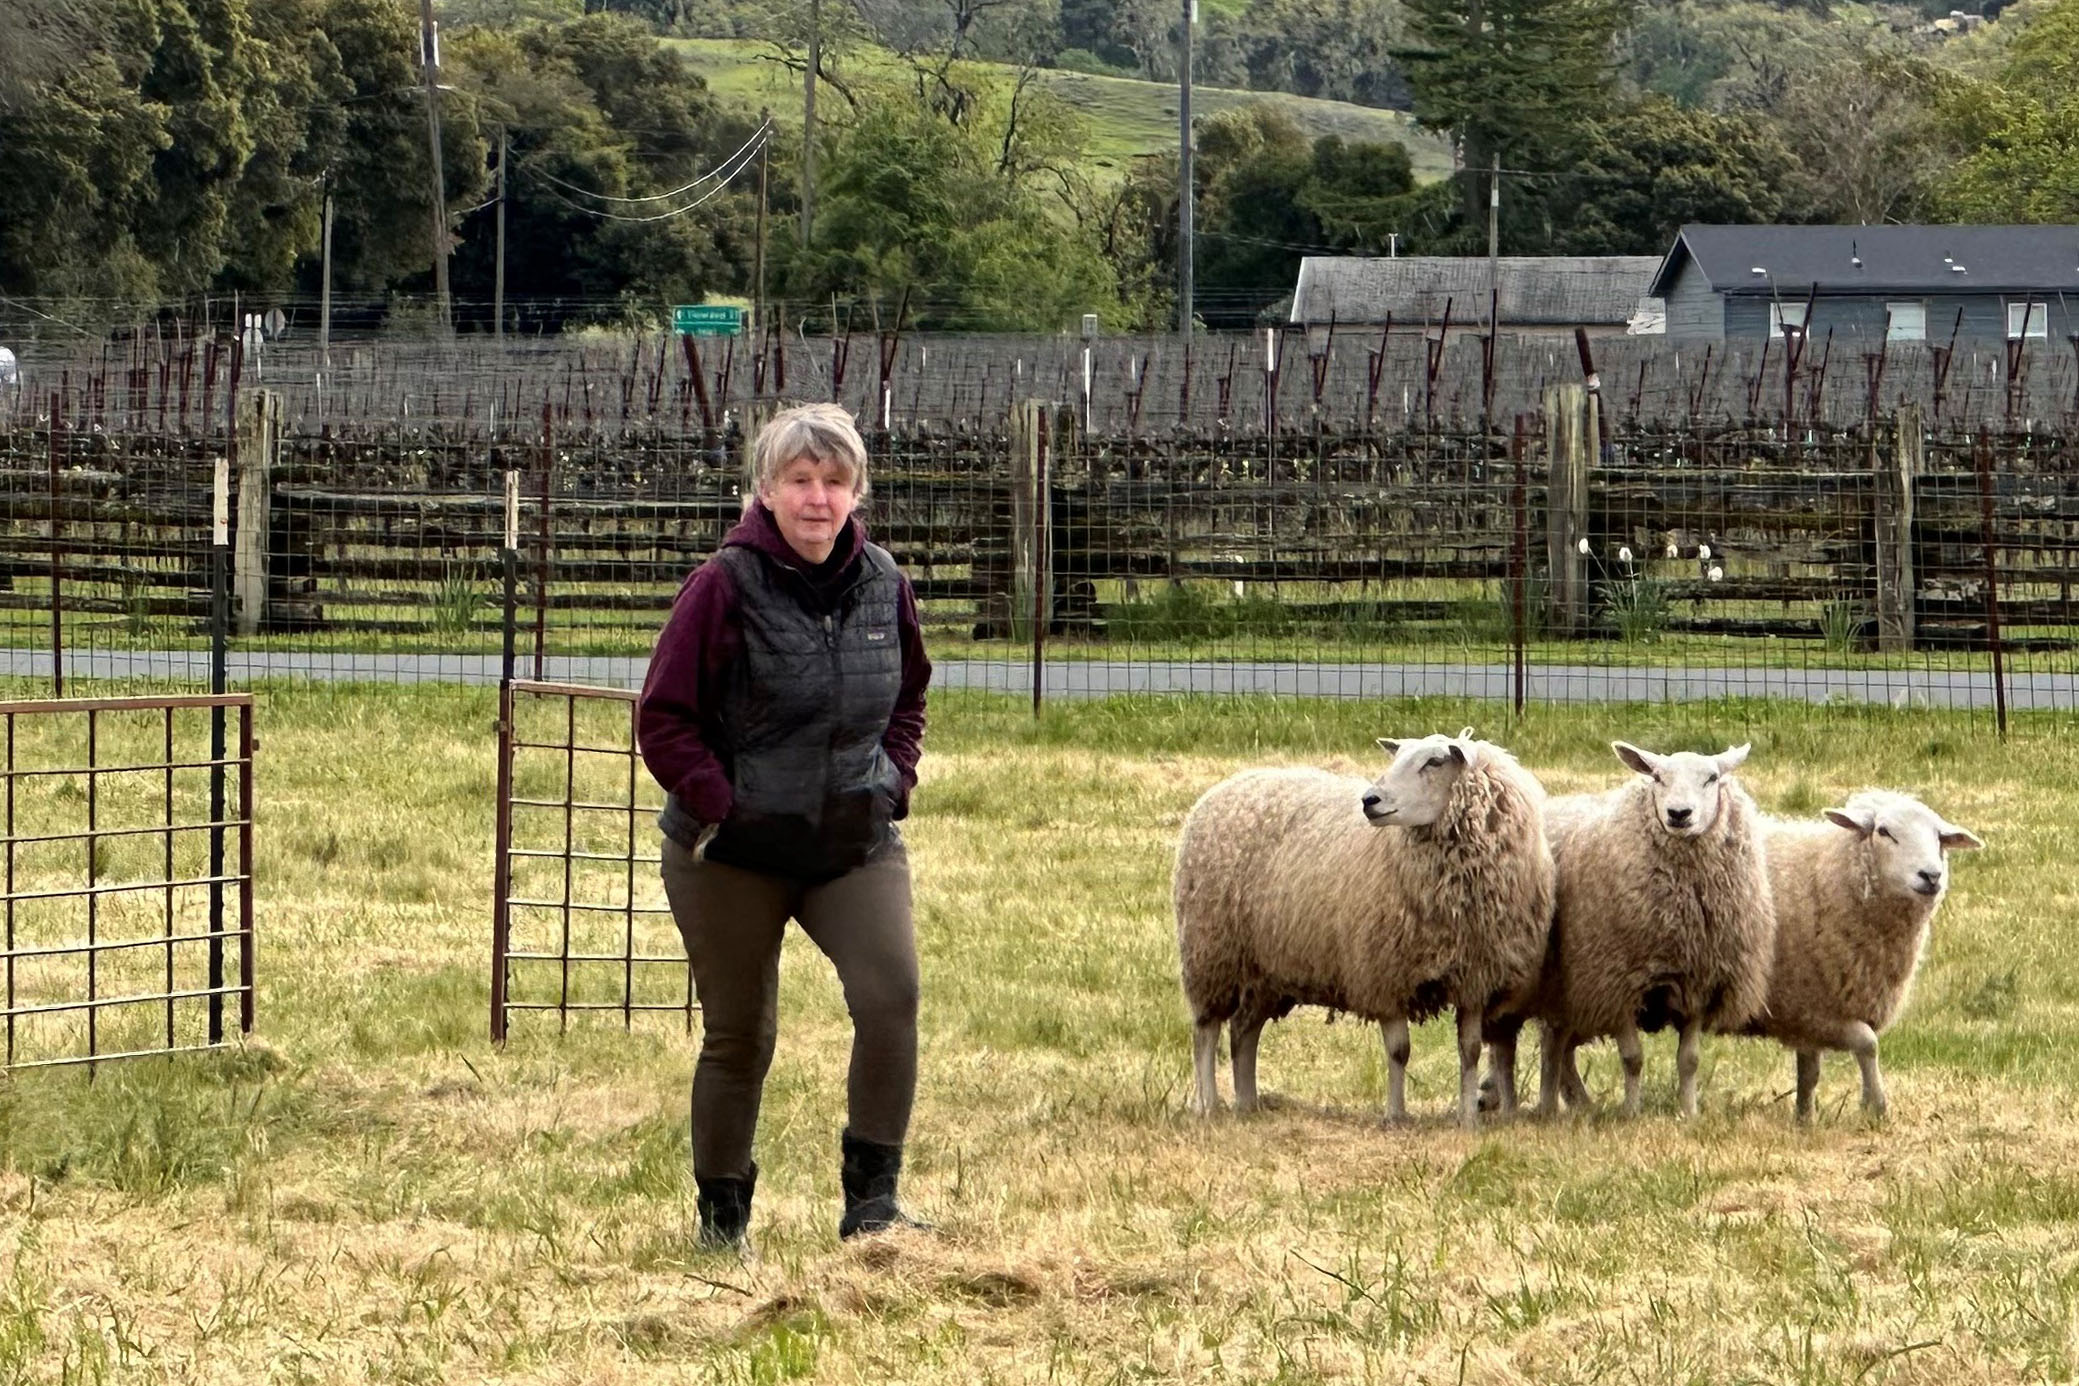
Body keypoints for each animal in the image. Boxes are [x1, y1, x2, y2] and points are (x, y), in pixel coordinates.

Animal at [1180, 731, 1555, 1130]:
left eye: (1435, 761)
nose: (1369, 801)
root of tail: (1227, 785)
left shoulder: (1473, 979)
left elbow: (1468, 1051)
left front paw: (1468, 1118)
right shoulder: (1384, 973)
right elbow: (1399, 1051)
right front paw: (1395, 1115)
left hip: (1266, 970)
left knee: (1243, 1032)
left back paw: (1247, 1103)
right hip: (1210, 953)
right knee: (1205, 1032)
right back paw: (1208, 1104)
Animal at [1513, 743, 1771, 1122]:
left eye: (1712, 778)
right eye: (1657, 777)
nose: (1679, 814)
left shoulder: (1697, 983)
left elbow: (1690, 1061)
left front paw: (1688, 1113)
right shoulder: (1618, 982)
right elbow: (1632, 1058)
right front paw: (1631, 1112)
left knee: (1560, 1046)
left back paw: (1577, 1103)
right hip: (1568, 984)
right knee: (1552, 1046)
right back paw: (1549, 1107)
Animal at [1738, 785, 1979, 1122]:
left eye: (1939, 837)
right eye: (1884, 831)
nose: (1931, 875)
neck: (1820, 880)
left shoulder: (1809, 1012)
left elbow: (1809, 1074)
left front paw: (1805, 1120)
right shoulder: (1806, 1008)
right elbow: (1868, 1043)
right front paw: (1875, 1106)